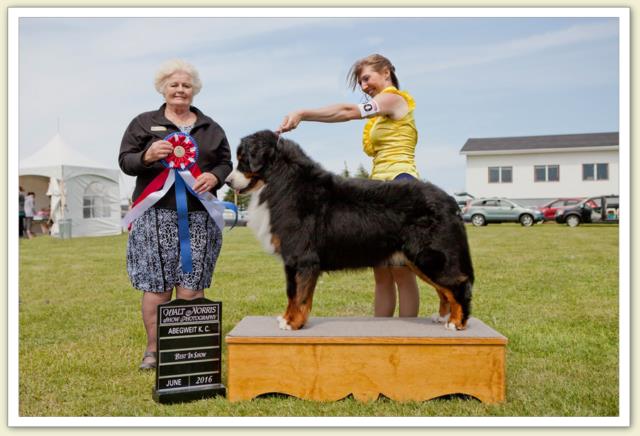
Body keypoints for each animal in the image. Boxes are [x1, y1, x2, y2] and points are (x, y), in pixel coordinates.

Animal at [226, 129, 476, 330]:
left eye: (243, 159)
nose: (228, 181)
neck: (283, 182)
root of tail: (451, 201)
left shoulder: (302, 257)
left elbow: (299, 296)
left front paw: (292, 323)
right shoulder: (291, 260)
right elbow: (292, 293)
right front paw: (286, 318)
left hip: (429, 256)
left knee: (458, 285)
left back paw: (456, 323)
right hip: (417, 260)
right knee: (444, 290)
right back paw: (443, 317)